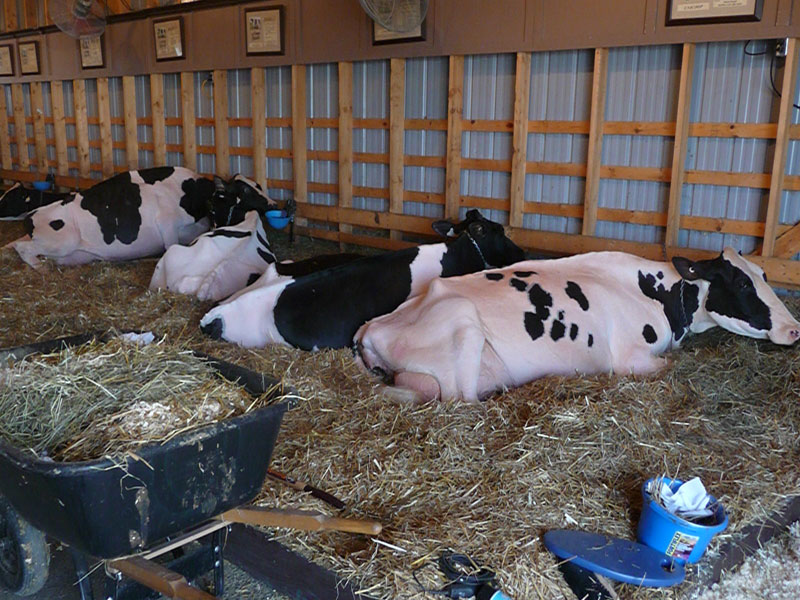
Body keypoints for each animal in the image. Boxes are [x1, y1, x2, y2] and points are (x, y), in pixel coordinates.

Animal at [4, 167, 271, 269]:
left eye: (258, 185)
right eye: (246, 191)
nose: (274, 203)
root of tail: (32, 216)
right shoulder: (167, 224)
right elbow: (169, 247)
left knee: (14, 244)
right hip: (61, 242)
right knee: (23, 248)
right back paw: (41, 268)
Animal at [353, 248, 800, 403]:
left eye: (763, 274)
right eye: (741, 283)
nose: (795, 328)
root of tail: (371, 328)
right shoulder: (630, 359)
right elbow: (669, 366)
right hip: (464, 326)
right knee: (460, 399)